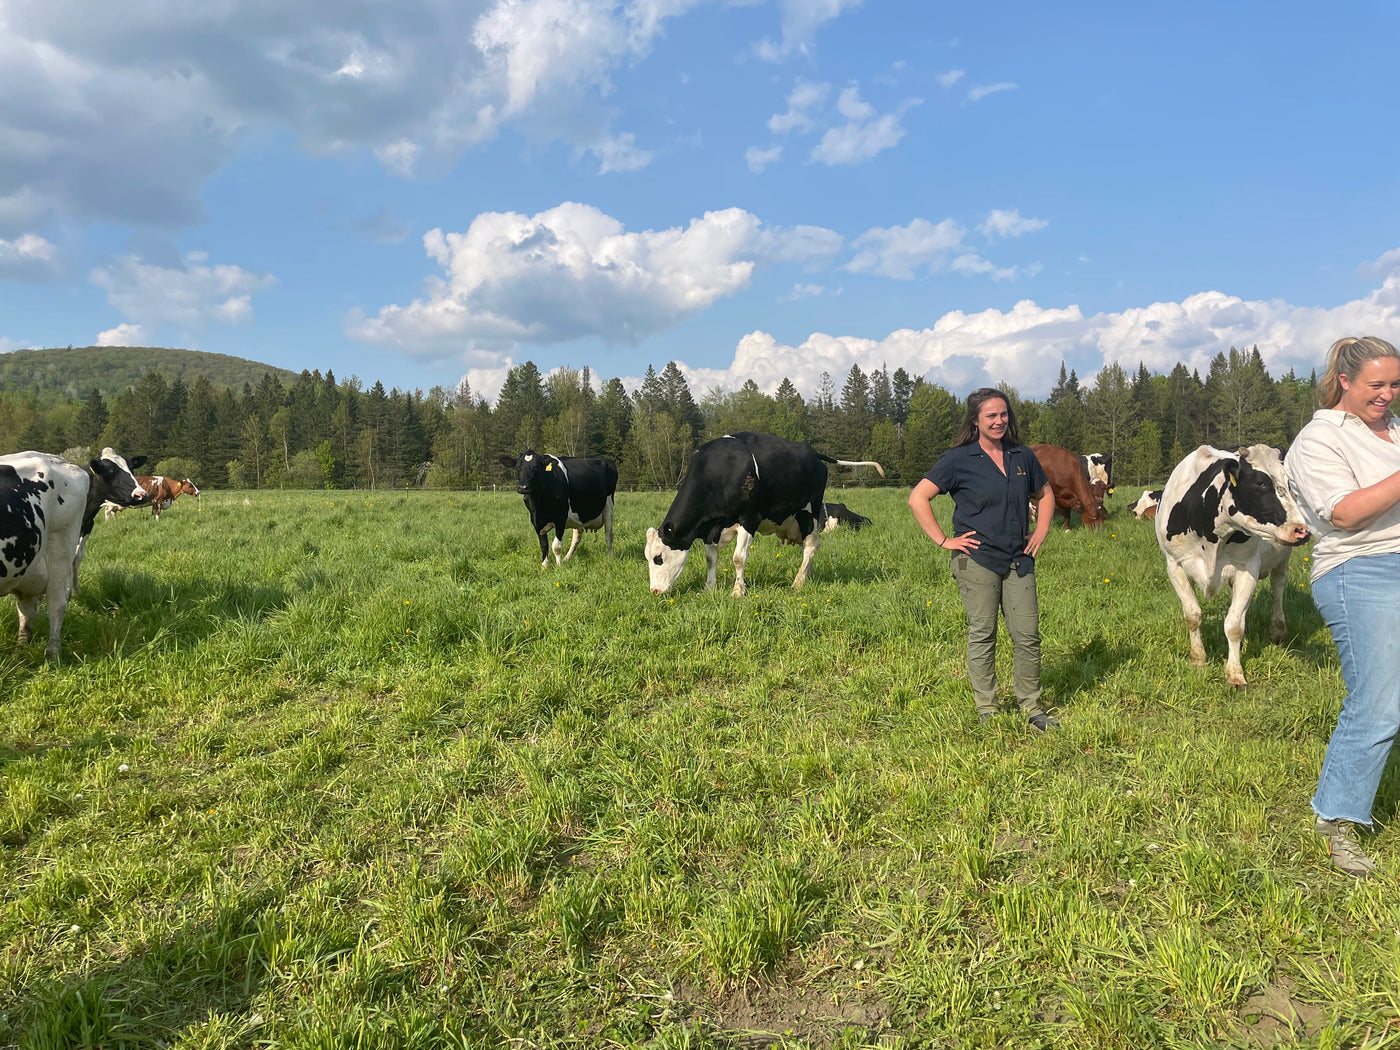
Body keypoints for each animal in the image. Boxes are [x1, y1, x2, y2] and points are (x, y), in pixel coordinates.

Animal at [646, 434, 884, 596]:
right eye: (647, 557)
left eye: (658, 558)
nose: (654, 591)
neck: (718, 472)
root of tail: (812, 452)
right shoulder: (710, 527)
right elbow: (711, 559)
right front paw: (709, 588)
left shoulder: (749, 518)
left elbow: (738, 558)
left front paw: (738, 592)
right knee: (808, 549)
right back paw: (807, 576)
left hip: (811, 510)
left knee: (811, 546)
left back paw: (797, 583)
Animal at [1153, 445, 1304, 691]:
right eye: (1260, 483)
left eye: (1288, 482)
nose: (1301, 530)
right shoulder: (1175, 566)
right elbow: (1193, 615)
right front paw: (1198, 659)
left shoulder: (1247, 569)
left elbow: (1233, 626)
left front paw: (1234, 673)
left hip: (1282, 558)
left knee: (1278, 588)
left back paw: (1278, 630)